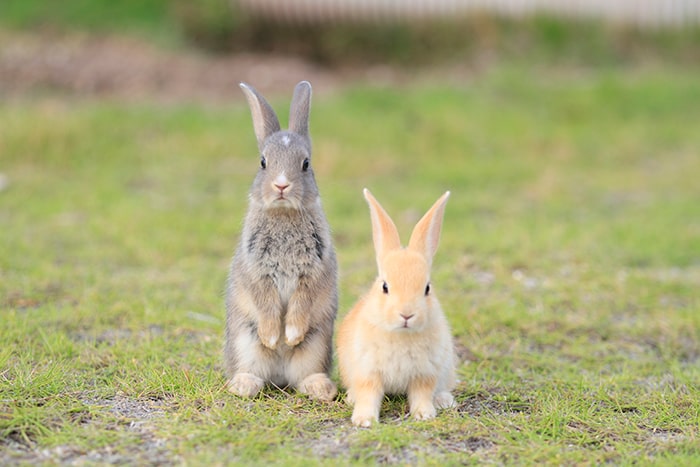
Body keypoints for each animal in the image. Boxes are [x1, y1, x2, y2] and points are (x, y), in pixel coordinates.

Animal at [221, 81, 336, 402]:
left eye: (306, 163)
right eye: (263, 163)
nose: (281, 185)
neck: (283, 214)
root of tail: (280, 376)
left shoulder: (314, 271)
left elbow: (302, 301)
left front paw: (291, 335)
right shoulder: (257, 270)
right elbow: (265, 300)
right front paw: (273, 337)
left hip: (317, 344)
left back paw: (322, 389)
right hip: (244, 342)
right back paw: (243, 385)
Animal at [336, 190, 456, 428]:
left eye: (427, 288)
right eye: (385, 287)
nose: (406, 314)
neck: (402, 334)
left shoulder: (425, 373)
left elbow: (422, 394)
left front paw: (424, 414)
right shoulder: (368, 372)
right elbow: (368, 395)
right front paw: (364, 420)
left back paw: (444, 400)